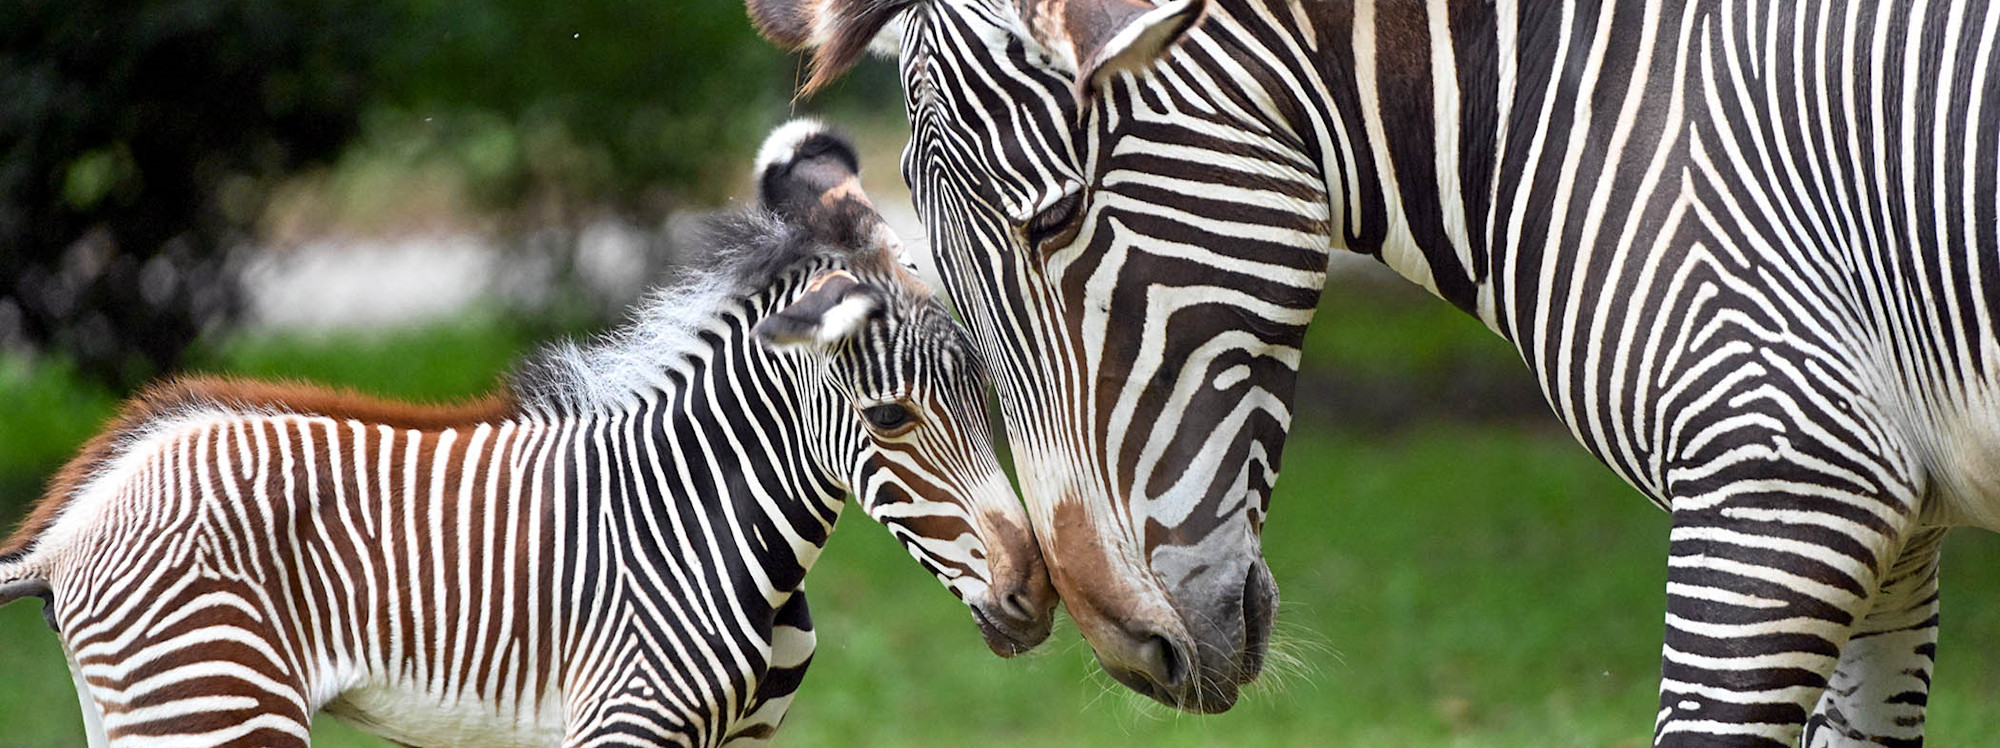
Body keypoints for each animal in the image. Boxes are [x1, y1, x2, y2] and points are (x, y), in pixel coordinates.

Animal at [0, 120, 1057, 748]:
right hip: (215, 703)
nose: (1037, 596)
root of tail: (68, 527)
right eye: (890, 418)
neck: (707, 525)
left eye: (991, 399)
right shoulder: (624, 727)